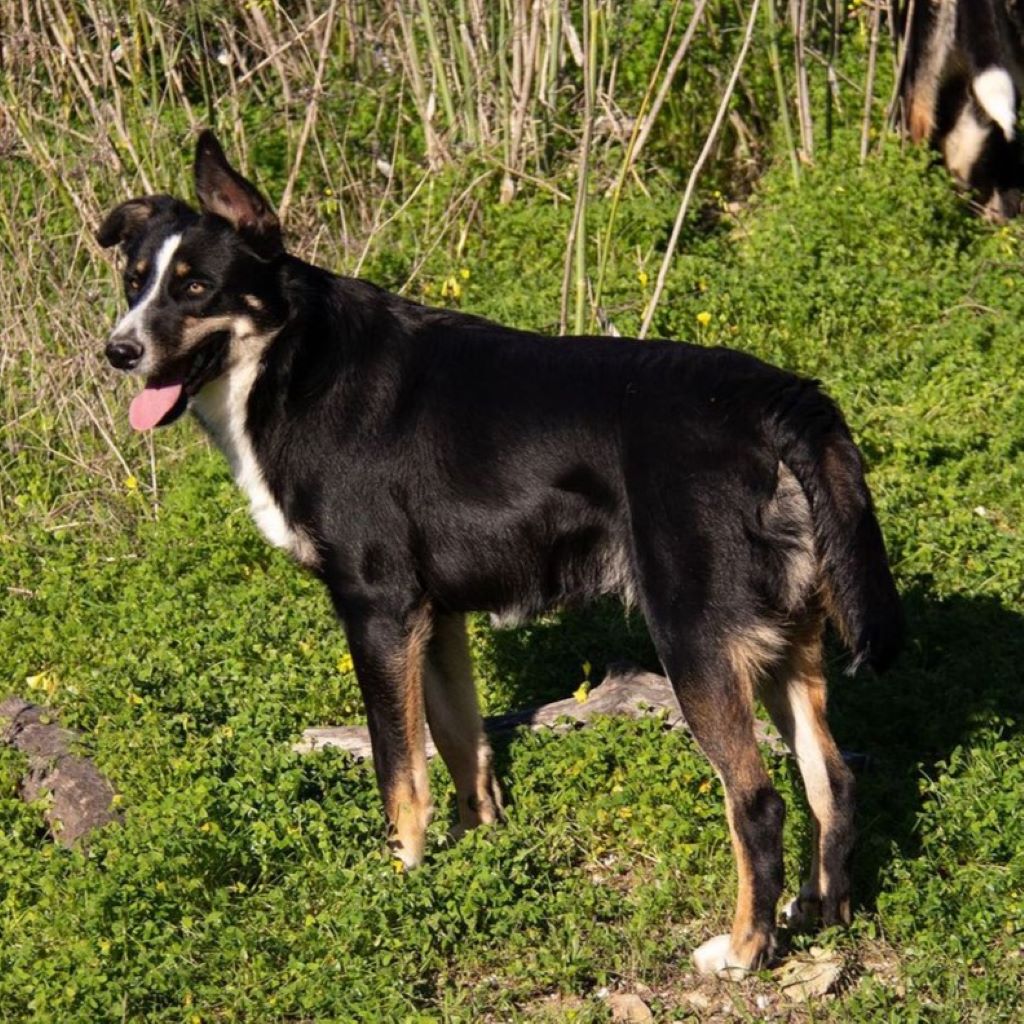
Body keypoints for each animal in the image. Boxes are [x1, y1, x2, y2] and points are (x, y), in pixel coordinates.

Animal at [94, 134, 905, 974]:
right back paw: (823, 912)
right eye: (134, 280)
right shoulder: (433, 618)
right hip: (784, 644)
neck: (295, 360)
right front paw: (474, 848)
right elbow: (458, 744)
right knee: (832, 781)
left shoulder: (376, 611)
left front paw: (401, 879)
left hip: (696, 641)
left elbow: (398, 771)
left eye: (196, 287)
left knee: (759, 801)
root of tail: (777, 399)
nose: (117, 351)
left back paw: (746, 948)